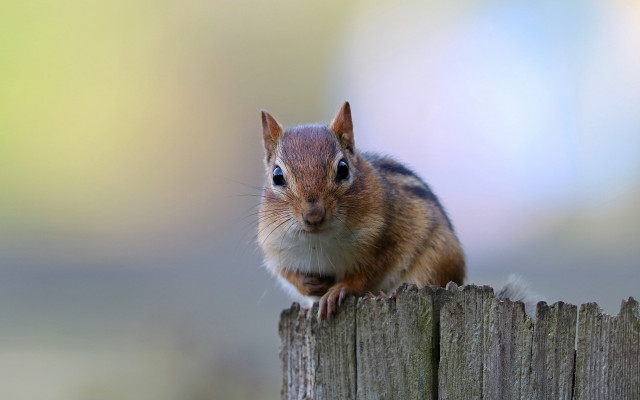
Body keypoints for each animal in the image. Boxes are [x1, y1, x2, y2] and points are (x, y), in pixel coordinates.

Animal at [258, 102, 465, 322]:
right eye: (277, 176)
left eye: (343, 169)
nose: (313, 215)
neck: (318, 241)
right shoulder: (276, 250)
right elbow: (287, 274)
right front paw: (309, 284)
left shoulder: (388, 239)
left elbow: (368, 273)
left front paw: (338, 290)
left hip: (438, 259)